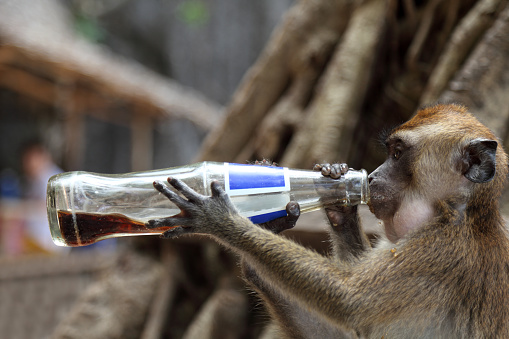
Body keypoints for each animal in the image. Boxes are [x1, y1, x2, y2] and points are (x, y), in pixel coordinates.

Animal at [149, 104, 508, 339]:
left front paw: (224, 220)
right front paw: (337, 195)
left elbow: (349, 300)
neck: (455, 211)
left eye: (396, 154)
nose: (371, 177)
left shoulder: (437, 253)